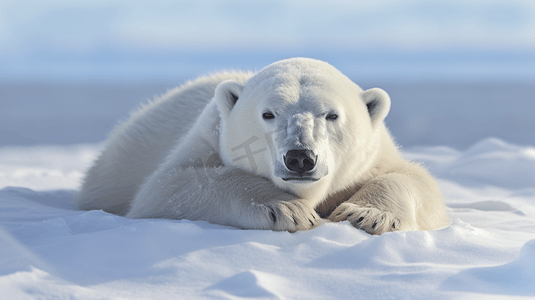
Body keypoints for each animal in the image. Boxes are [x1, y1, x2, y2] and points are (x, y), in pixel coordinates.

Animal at [77, 56, 450, 234]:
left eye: (331, 115)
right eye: (268, 114)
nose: (300, 157)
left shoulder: (377, 156)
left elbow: (416, 181)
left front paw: (366, 214)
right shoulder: (205, 139)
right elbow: (169, 187)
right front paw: (285, 209)